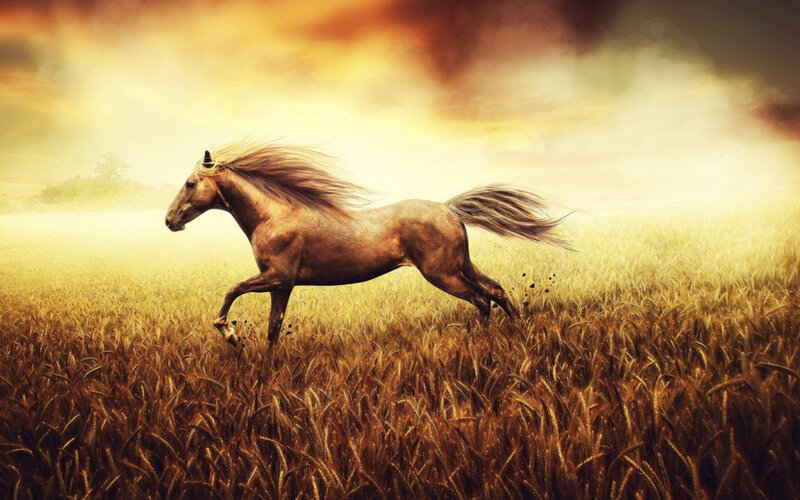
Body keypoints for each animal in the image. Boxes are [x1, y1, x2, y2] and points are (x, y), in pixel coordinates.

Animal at [165, 142, 570, 347]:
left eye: (189, 183)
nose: (169, 221)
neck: (273, 215)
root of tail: (450, 209)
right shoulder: (282, 285)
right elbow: (273, 329)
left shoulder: (277, 277)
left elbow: (231, 290)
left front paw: (231, 335)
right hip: (460, 265)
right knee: (496, 290)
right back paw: (517, 332)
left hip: (441, 273)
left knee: (481, 298)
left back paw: (486, 344)